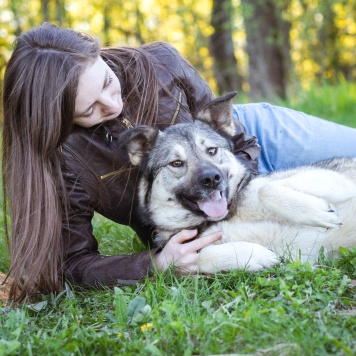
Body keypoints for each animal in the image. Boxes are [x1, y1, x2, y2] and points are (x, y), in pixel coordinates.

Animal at [121, 92, 356, 272]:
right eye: (176, 163)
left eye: (212, 150)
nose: (211, 179)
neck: (224, 216)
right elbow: (201, 257)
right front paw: (254, 254)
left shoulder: (335, 179)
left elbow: (265, 189)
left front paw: (319, 212)